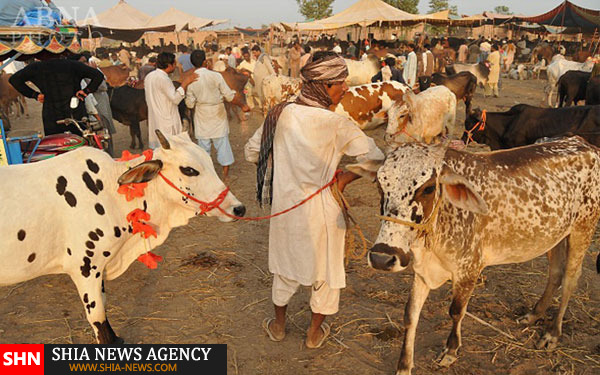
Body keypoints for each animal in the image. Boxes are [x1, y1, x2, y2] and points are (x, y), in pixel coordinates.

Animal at [356, 139, 600, 375]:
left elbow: (456, 311)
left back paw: (552, 333)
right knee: (555, 274)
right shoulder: (422, 271)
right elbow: (410, 315)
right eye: (379, 184)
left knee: (570, 280)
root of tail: (586, 144)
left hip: (583, 229)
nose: (381, 258)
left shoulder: (469, 270)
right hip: (554, 236)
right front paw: (404, 366)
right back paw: (534, 314)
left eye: (428, 188)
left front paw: (450, 350)